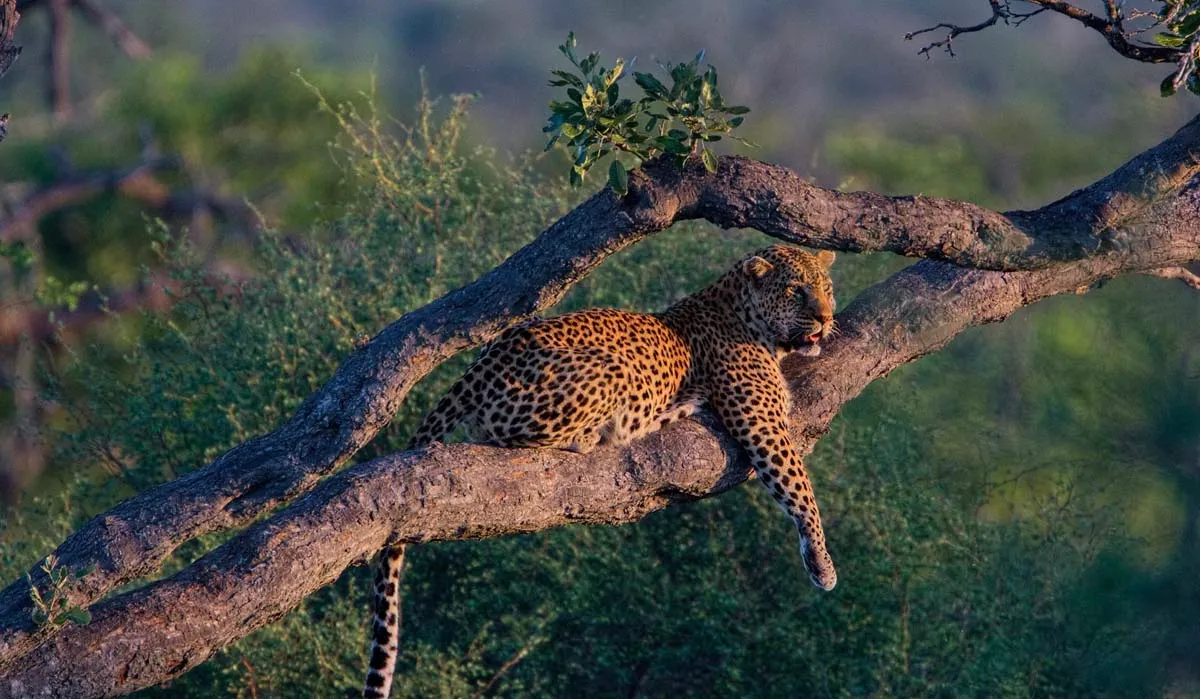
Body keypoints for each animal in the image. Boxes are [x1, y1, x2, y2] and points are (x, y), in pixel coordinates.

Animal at [363, 244, 839, 698]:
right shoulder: (762, 423)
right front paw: (822, 564)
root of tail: (481, 367)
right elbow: (799, 488)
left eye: (826, 288)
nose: (826, 317)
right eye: (796, 291)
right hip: (607, 370)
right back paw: (606, 432)